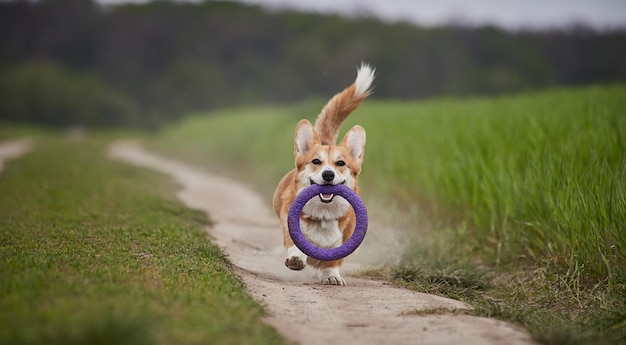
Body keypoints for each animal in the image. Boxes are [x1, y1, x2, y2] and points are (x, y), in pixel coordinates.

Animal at [270, 63, 372, 284]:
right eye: (316, 162)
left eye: (340, 163)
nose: (328, 175)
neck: (324, 215)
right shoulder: (289, 224)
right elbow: (294, 243)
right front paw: (296, 259)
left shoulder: (343, 241)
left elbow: (333, 259)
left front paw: (332, 276)